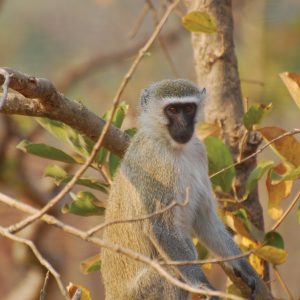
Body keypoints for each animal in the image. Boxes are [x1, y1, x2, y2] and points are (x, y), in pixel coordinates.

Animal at [101, 79, 260, 300]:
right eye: (173, 110)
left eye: (189, 108)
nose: (184, 126)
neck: (172, 146)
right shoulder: (157, 166)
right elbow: (160, 227)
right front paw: (203, 285)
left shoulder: (200, 153)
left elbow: (205, 219)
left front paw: (244, 267)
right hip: (141, 292)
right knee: (171, 270)